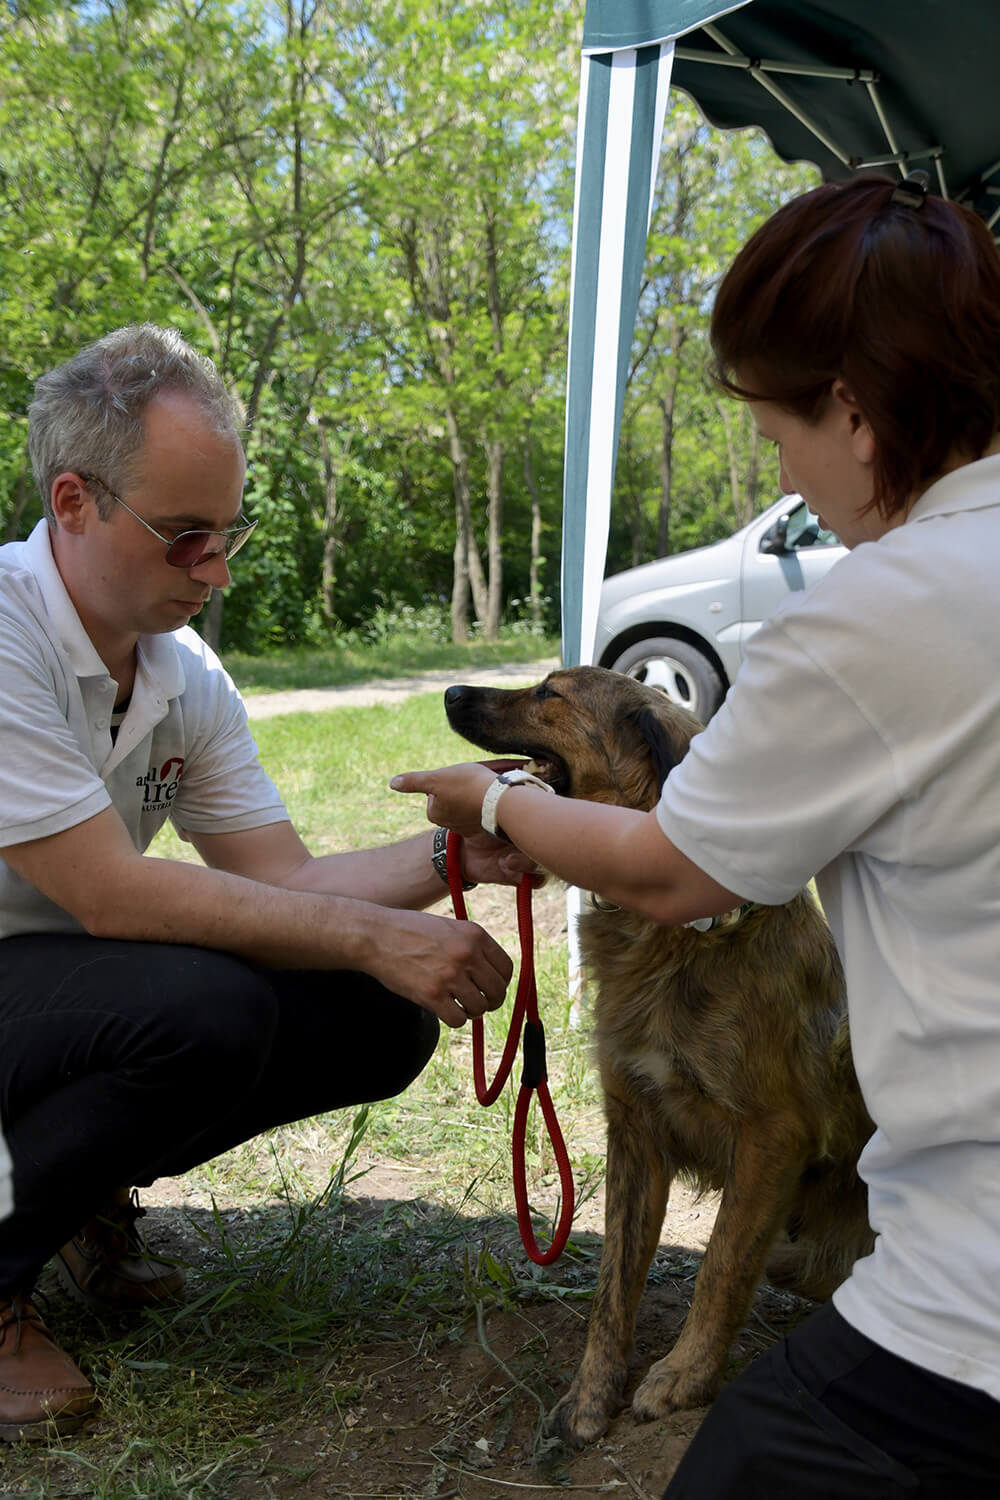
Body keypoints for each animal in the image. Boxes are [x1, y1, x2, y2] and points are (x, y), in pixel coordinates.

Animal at [445, 665, 874, 1448]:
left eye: (549, 693)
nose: (451, 693)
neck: (679, 939)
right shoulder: (636, 1130)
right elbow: (614, 1286)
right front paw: (591, 1394)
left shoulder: (772, 1140)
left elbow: (721, 1267)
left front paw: (683, 1378)